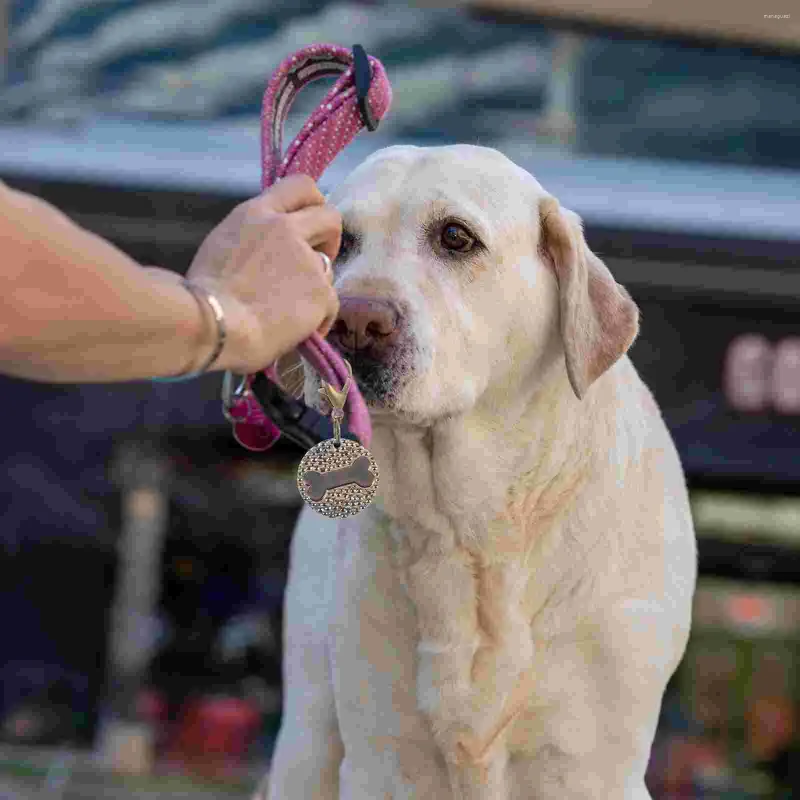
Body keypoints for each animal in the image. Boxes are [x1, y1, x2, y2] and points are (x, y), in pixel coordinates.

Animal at [260, 145, 696, 800]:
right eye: (339, 244)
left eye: (455, 237)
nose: (355, 322)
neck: (470, 530)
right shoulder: (383, 759)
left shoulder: (591, 766)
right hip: (309, 735)